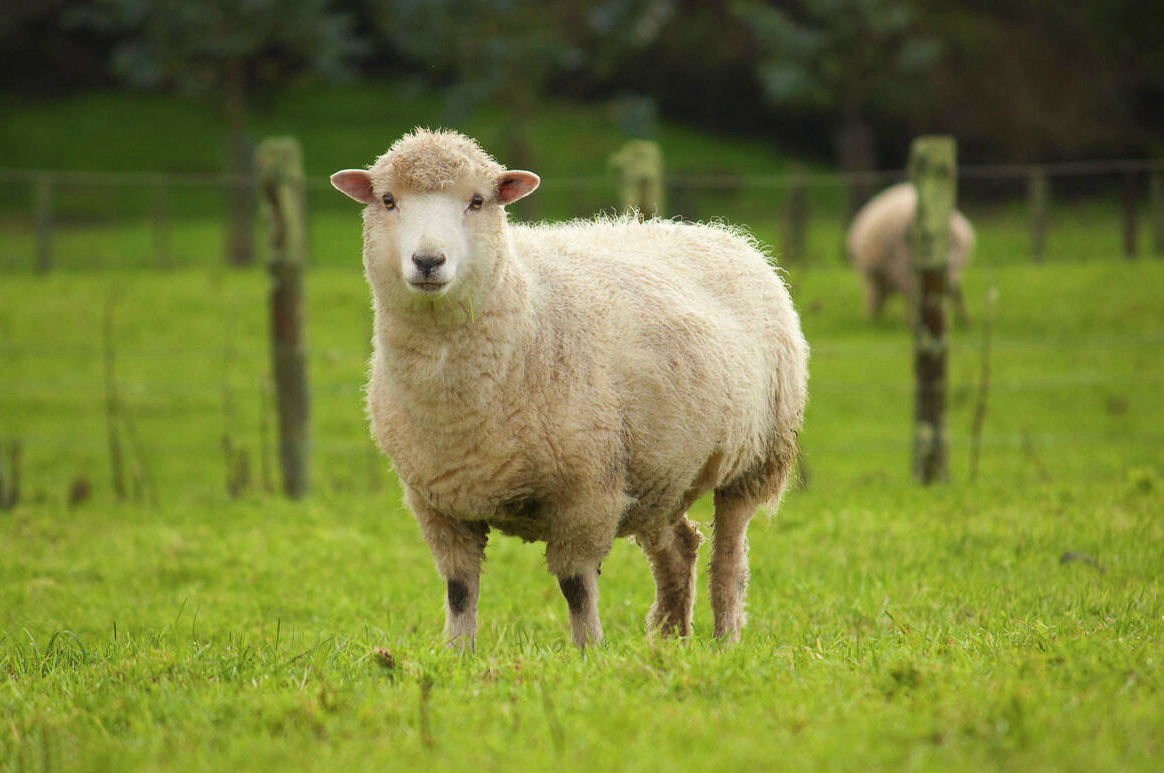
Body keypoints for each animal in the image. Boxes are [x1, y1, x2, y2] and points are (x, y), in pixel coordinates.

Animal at [330, 129, 810, 647]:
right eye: (388, 200)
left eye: (477, 201)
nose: (428, 261)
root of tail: (723, 234)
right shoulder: (438, 503)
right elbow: (460, 589)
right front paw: (457, 653)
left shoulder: (588, 494)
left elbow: (576, 587)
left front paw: (589, 651)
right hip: (658, 471)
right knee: (680, 547)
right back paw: (670, 640)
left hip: (757, 457)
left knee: (730, 560)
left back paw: (724, 641)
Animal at [847, 181, 973, 323]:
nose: (868, 318)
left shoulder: (876, 274)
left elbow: (875, 294)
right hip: (950, 265)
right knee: (948, 291)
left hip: (906, 263)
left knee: (918, 294)